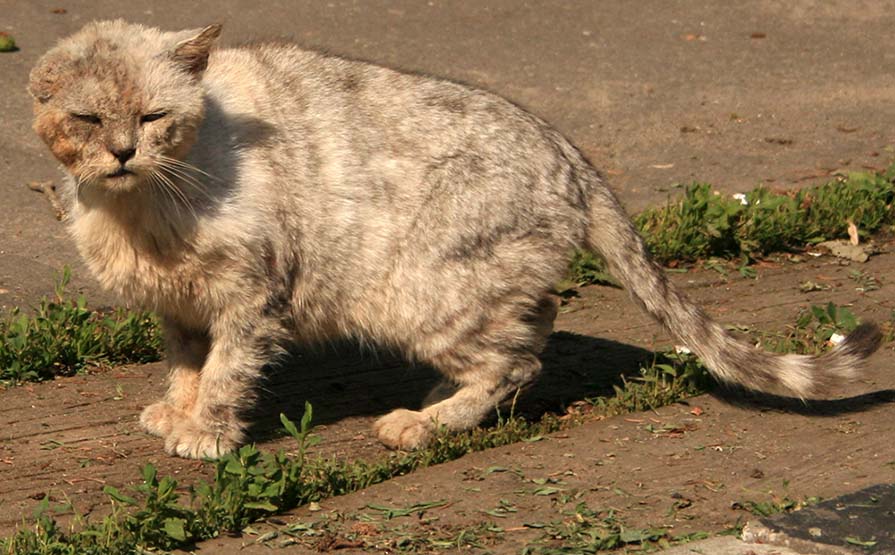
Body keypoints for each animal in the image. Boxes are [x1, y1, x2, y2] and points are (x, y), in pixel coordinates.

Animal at [29, 20, 880, 460]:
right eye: (86, 120)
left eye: (151, 117)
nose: (122, 153)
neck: (136, 208)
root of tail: (571, 154)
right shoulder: (179, 307)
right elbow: (185, 365)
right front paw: (175, 411)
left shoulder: (249, 296)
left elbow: (226, 373)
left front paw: (206, 433)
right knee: (533, 324)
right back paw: (439, 400)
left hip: (421, 295)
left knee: (517, 358)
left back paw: (424, 421)